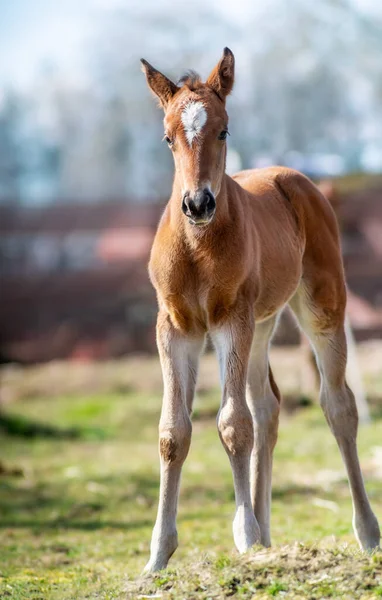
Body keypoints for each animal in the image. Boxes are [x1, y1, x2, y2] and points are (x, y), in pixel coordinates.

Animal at [140, 47, 380, 572]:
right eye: (167, 138)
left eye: (224, 130)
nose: (197, 203)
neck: (197, 247)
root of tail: (298, 180)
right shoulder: (176, 327)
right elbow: (173, 432)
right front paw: (158, 557)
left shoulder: (231, 319)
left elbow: (233, 424)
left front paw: (245, 538)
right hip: (263, 324)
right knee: (268, 407)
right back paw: (269, 536)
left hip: (318, 308)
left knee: (338, 406)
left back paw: (366, 533)